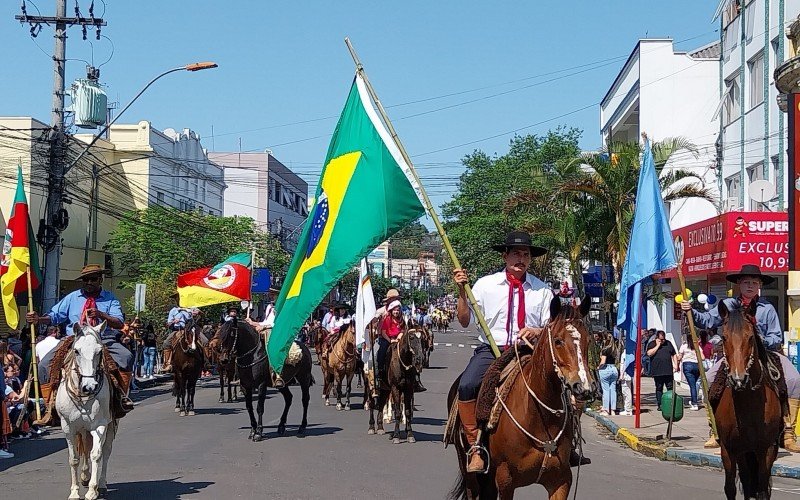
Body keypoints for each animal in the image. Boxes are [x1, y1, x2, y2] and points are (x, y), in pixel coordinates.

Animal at [56, 322, 117, 498]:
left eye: (99, 351)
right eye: (76, 350)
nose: (89, 386)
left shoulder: (100, 425)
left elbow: (96, 454)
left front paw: (92, 490)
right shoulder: (67, 427)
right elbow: (74, 458)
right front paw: (74, 492)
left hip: (111, 425)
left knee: (106, 451)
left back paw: (100, 484)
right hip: (82, 429)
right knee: (83, 447)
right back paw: (84, 476)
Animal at [446, 298, 596, 498]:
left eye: (588, 340)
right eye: (558, 341)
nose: (584, 387)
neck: (539, 417)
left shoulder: (562, 480)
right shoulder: (505, 480)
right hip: (468, 468)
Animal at [712, 298, 780, 498]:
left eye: (750, 337)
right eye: (724, 338)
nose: (738, 379)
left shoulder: (766, 449)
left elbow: (762, 491)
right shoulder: (728, 449)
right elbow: (730, 488)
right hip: (743, 452)